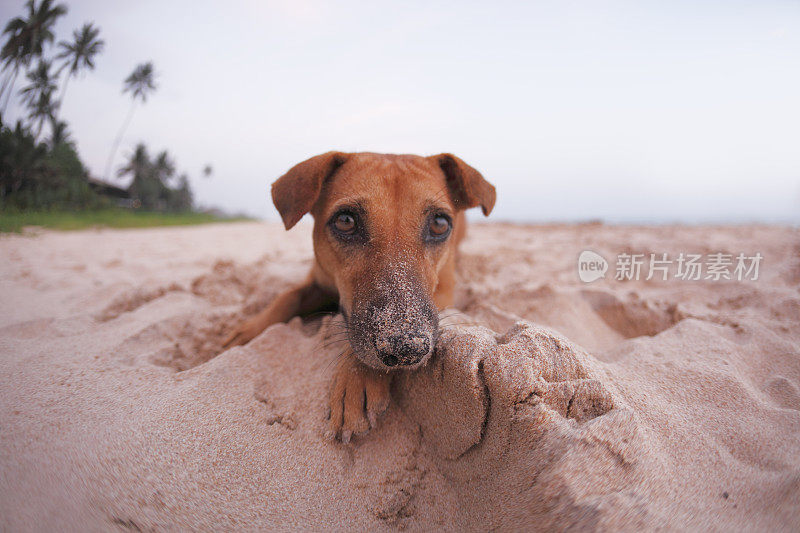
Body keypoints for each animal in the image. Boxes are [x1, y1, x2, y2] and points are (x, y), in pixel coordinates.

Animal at [223, 151, 494, 440]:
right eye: (346, 221)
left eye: (440, 223)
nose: (406, 348)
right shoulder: (318, 280)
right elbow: (288, 296)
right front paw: (249, 331)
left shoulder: (443, 292)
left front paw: (356, 380)